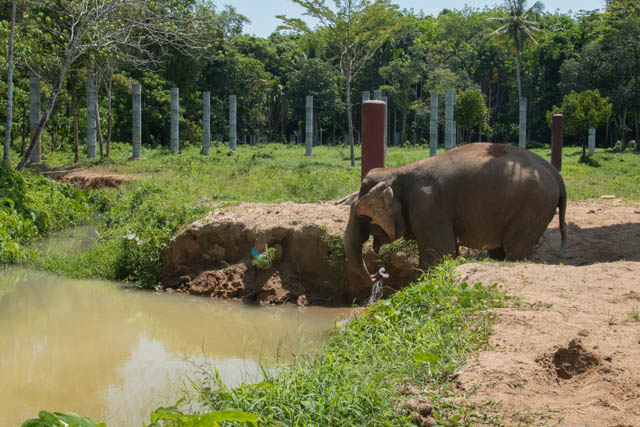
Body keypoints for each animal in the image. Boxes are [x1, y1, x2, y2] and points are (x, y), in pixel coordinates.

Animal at [344, 142, 564, 300]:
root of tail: (556, 173)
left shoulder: (428, 207)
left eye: (363, 216)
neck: (396, 172)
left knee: (513, 248)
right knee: (501, 249)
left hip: (533, 208)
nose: (378, 274)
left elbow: (441, 254)